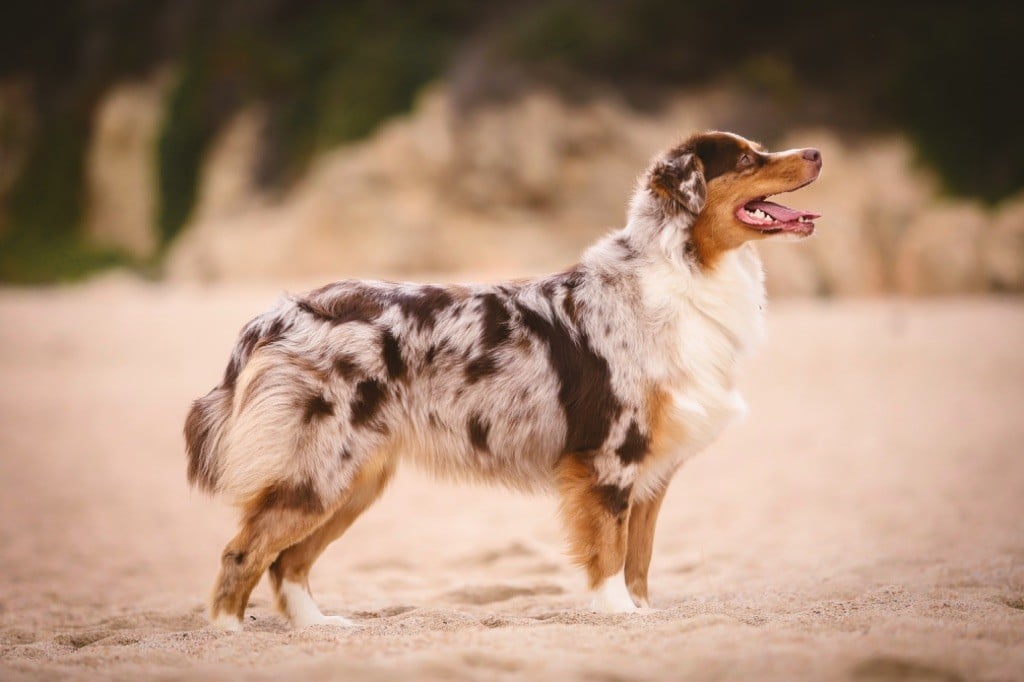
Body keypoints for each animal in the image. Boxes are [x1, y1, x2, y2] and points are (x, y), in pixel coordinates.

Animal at [186, 130, 823, 630]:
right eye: (746, 160)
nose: (816, 152)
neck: (688, 268)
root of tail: (283, 312)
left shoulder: (653, 472)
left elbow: (639, 559)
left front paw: (642, 615)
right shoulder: (610, 458)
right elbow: (610, 553)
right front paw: (617, 614)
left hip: (354, 479)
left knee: (287, 561)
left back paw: (318, 627)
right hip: (320, 470)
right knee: (242, 552)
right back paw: (229, 635)